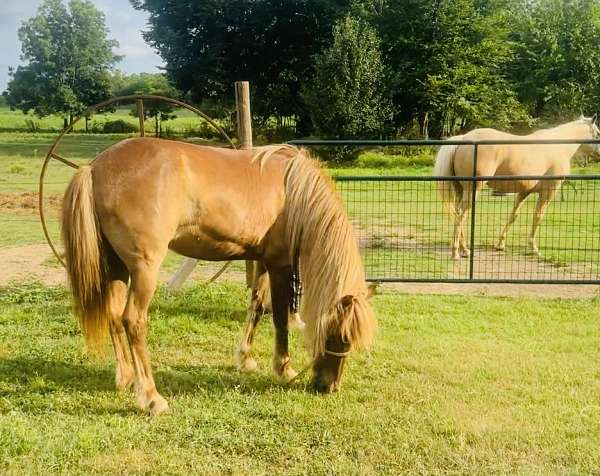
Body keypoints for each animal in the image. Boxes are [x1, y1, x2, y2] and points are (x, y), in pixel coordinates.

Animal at [59, 139, 370, 414]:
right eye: (340, 336)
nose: (328, 387)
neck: (293, 191)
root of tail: (94, 168)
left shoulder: (262, 260)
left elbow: (257, 306)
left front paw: (245, 359)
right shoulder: (280, 264)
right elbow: (280, 318)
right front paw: (284, 369)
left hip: (117, 267)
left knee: (113, 316)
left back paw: (125, 378)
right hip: (144, 269)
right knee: (132, 321)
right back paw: (151, 398)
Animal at [436, 119, 600, 260]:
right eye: (597, 133)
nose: (599, 154)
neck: (558, 146)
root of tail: (463, 138)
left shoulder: (524, 192)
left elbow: (513, 216)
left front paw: (500, 244)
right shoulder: (548, 192)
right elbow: (538, 216)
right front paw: (534, 248)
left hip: (461, 190)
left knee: (457, 213)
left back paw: (465, 250)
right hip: (473, 190)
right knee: (461, 215)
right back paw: (456, 252)